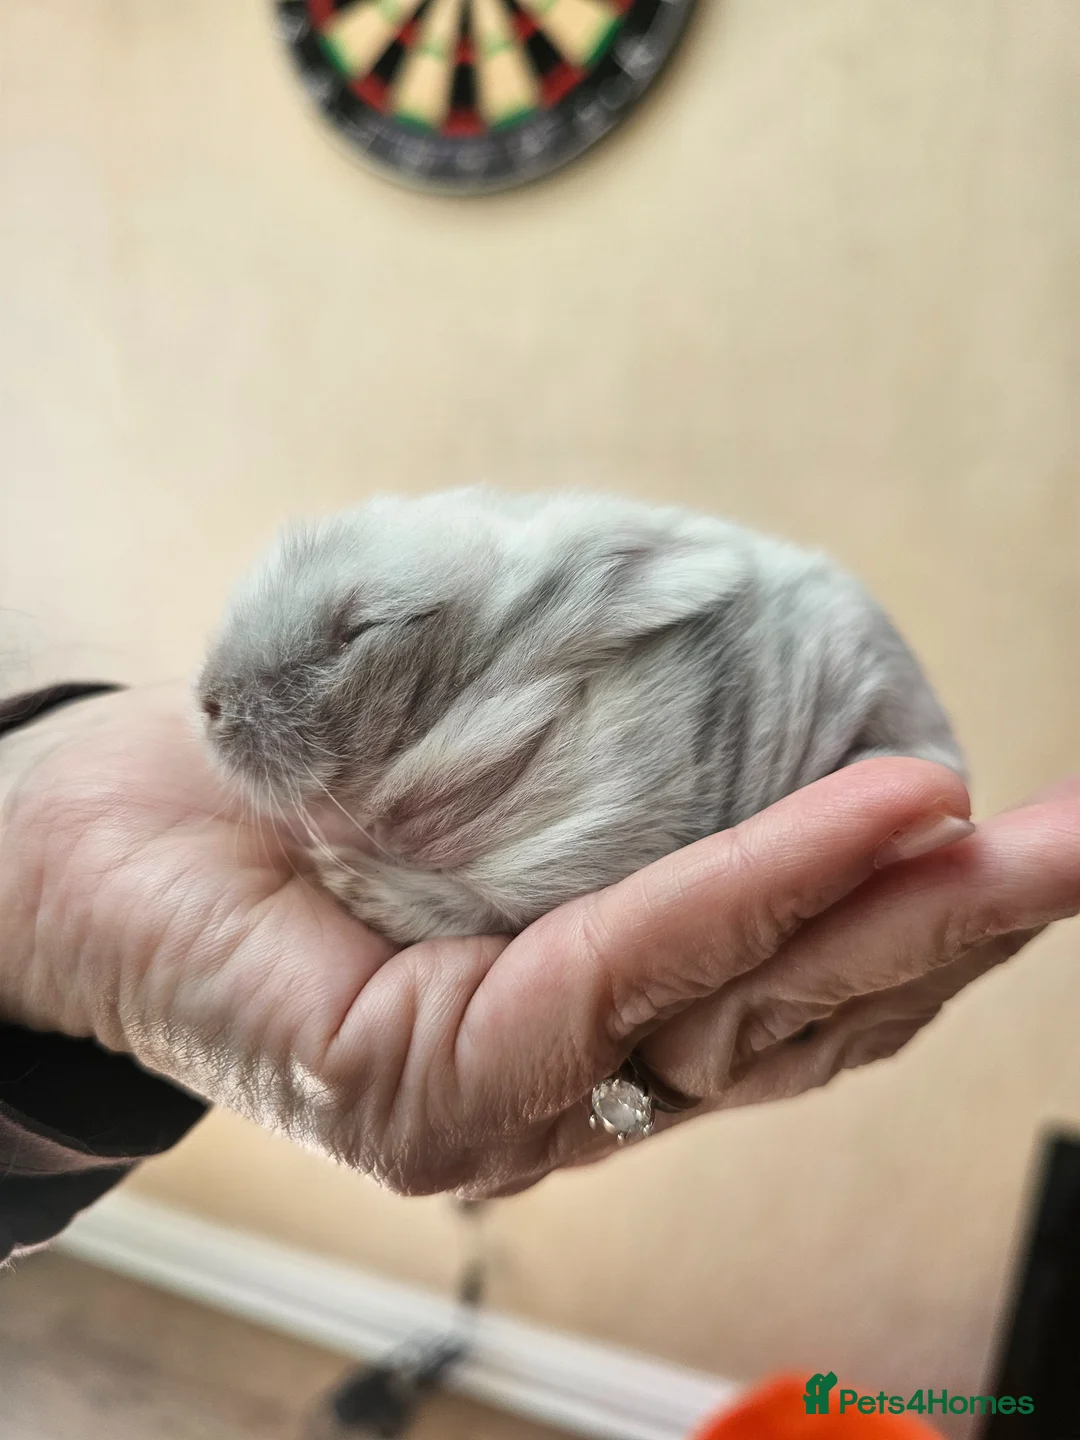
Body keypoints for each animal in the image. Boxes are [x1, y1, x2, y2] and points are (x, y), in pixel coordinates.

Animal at [196, 487, 965, 945]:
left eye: (359, 629)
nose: (206, 703)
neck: (518, 723)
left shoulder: (588, 837)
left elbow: (471, 906)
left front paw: (347, 878)